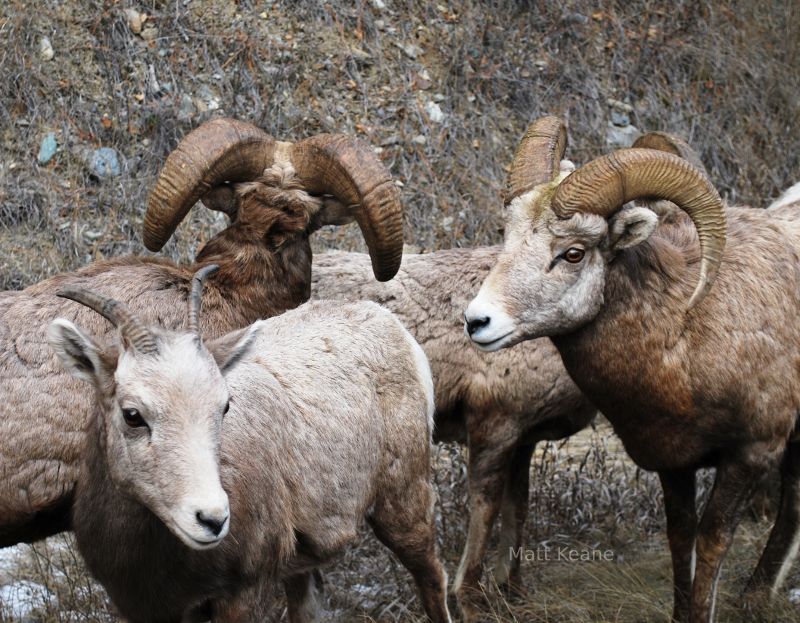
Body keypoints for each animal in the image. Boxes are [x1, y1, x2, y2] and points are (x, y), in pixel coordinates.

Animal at [50, 266, 450, 623]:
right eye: (132, 414)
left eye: (224, 405)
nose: (212, 520)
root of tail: (387, 321)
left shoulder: (245, 594)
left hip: (404, 503)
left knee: (433, 577)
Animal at [466, 117, 800, 623]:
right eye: (506, 234)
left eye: (574, 253)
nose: (477, 321)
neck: (685, 333)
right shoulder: (672, 461)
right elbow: (681, 539)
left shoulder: (750, 454)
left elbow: (712, 541)